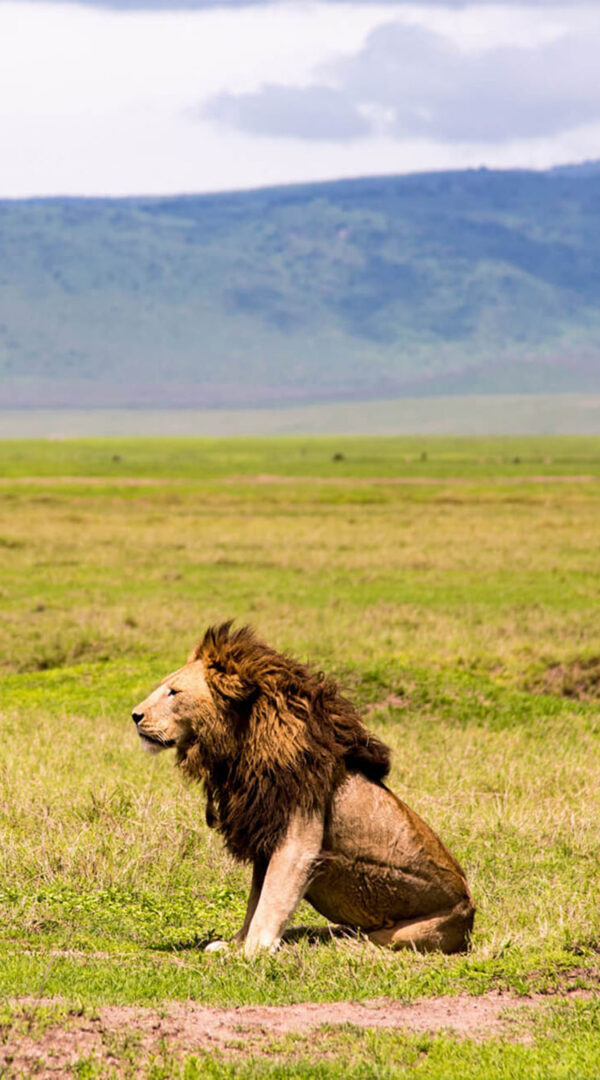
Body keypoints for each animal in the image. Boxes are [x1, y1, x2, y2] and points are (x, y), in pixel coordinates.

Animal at [131, 623, 474, 958]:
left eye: (174, 692)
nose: (135, 715)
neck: (240, 747)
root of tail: (469, 918)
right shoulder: (263, 838)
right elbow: (256, 900)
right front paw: (237, 943)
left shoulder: (297, 840)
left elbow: (271, 900)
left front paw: (250, 952)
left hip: (404, 934)